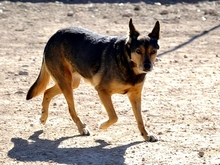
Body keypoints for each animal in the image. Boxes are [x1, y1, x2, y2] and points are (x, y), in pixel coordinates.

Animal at [27, 18, 160, 142]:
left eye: (153, 52)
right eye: (138, 51)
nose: (148, 66)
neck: (127, 63)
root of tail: (54, 36)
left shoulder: (135, 96)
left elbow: (140, 119)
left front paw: (146, 135)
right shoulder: (102, 91)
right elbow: (114, 116)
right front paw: (102, 125)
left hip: (71, 83)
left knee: (47, 92)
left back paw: (43, 117)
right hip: (66, 84)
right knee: (70, 109)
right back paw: (81, 128)